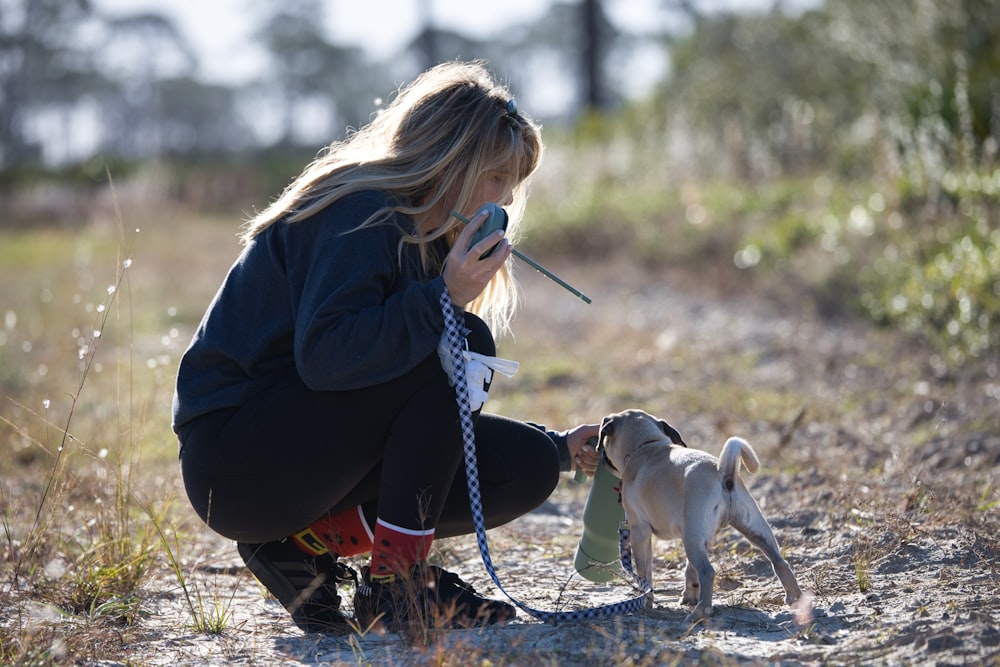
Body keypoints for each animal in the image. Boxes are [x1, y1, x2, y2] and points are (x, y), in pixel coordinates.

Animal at [596, 410, 800, 624]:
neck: (645, 445)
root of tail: (723, 472)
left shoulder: (640, 531)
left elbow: (645, 573)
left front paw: (645, 602)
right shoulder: (701, 536)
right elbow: (690, 570)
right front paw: (689, 596)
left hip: (692, 539)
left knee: (707, 572)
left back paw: (700, 612)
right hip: (753, 529)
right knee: (779, 562)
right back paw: (797, 599)